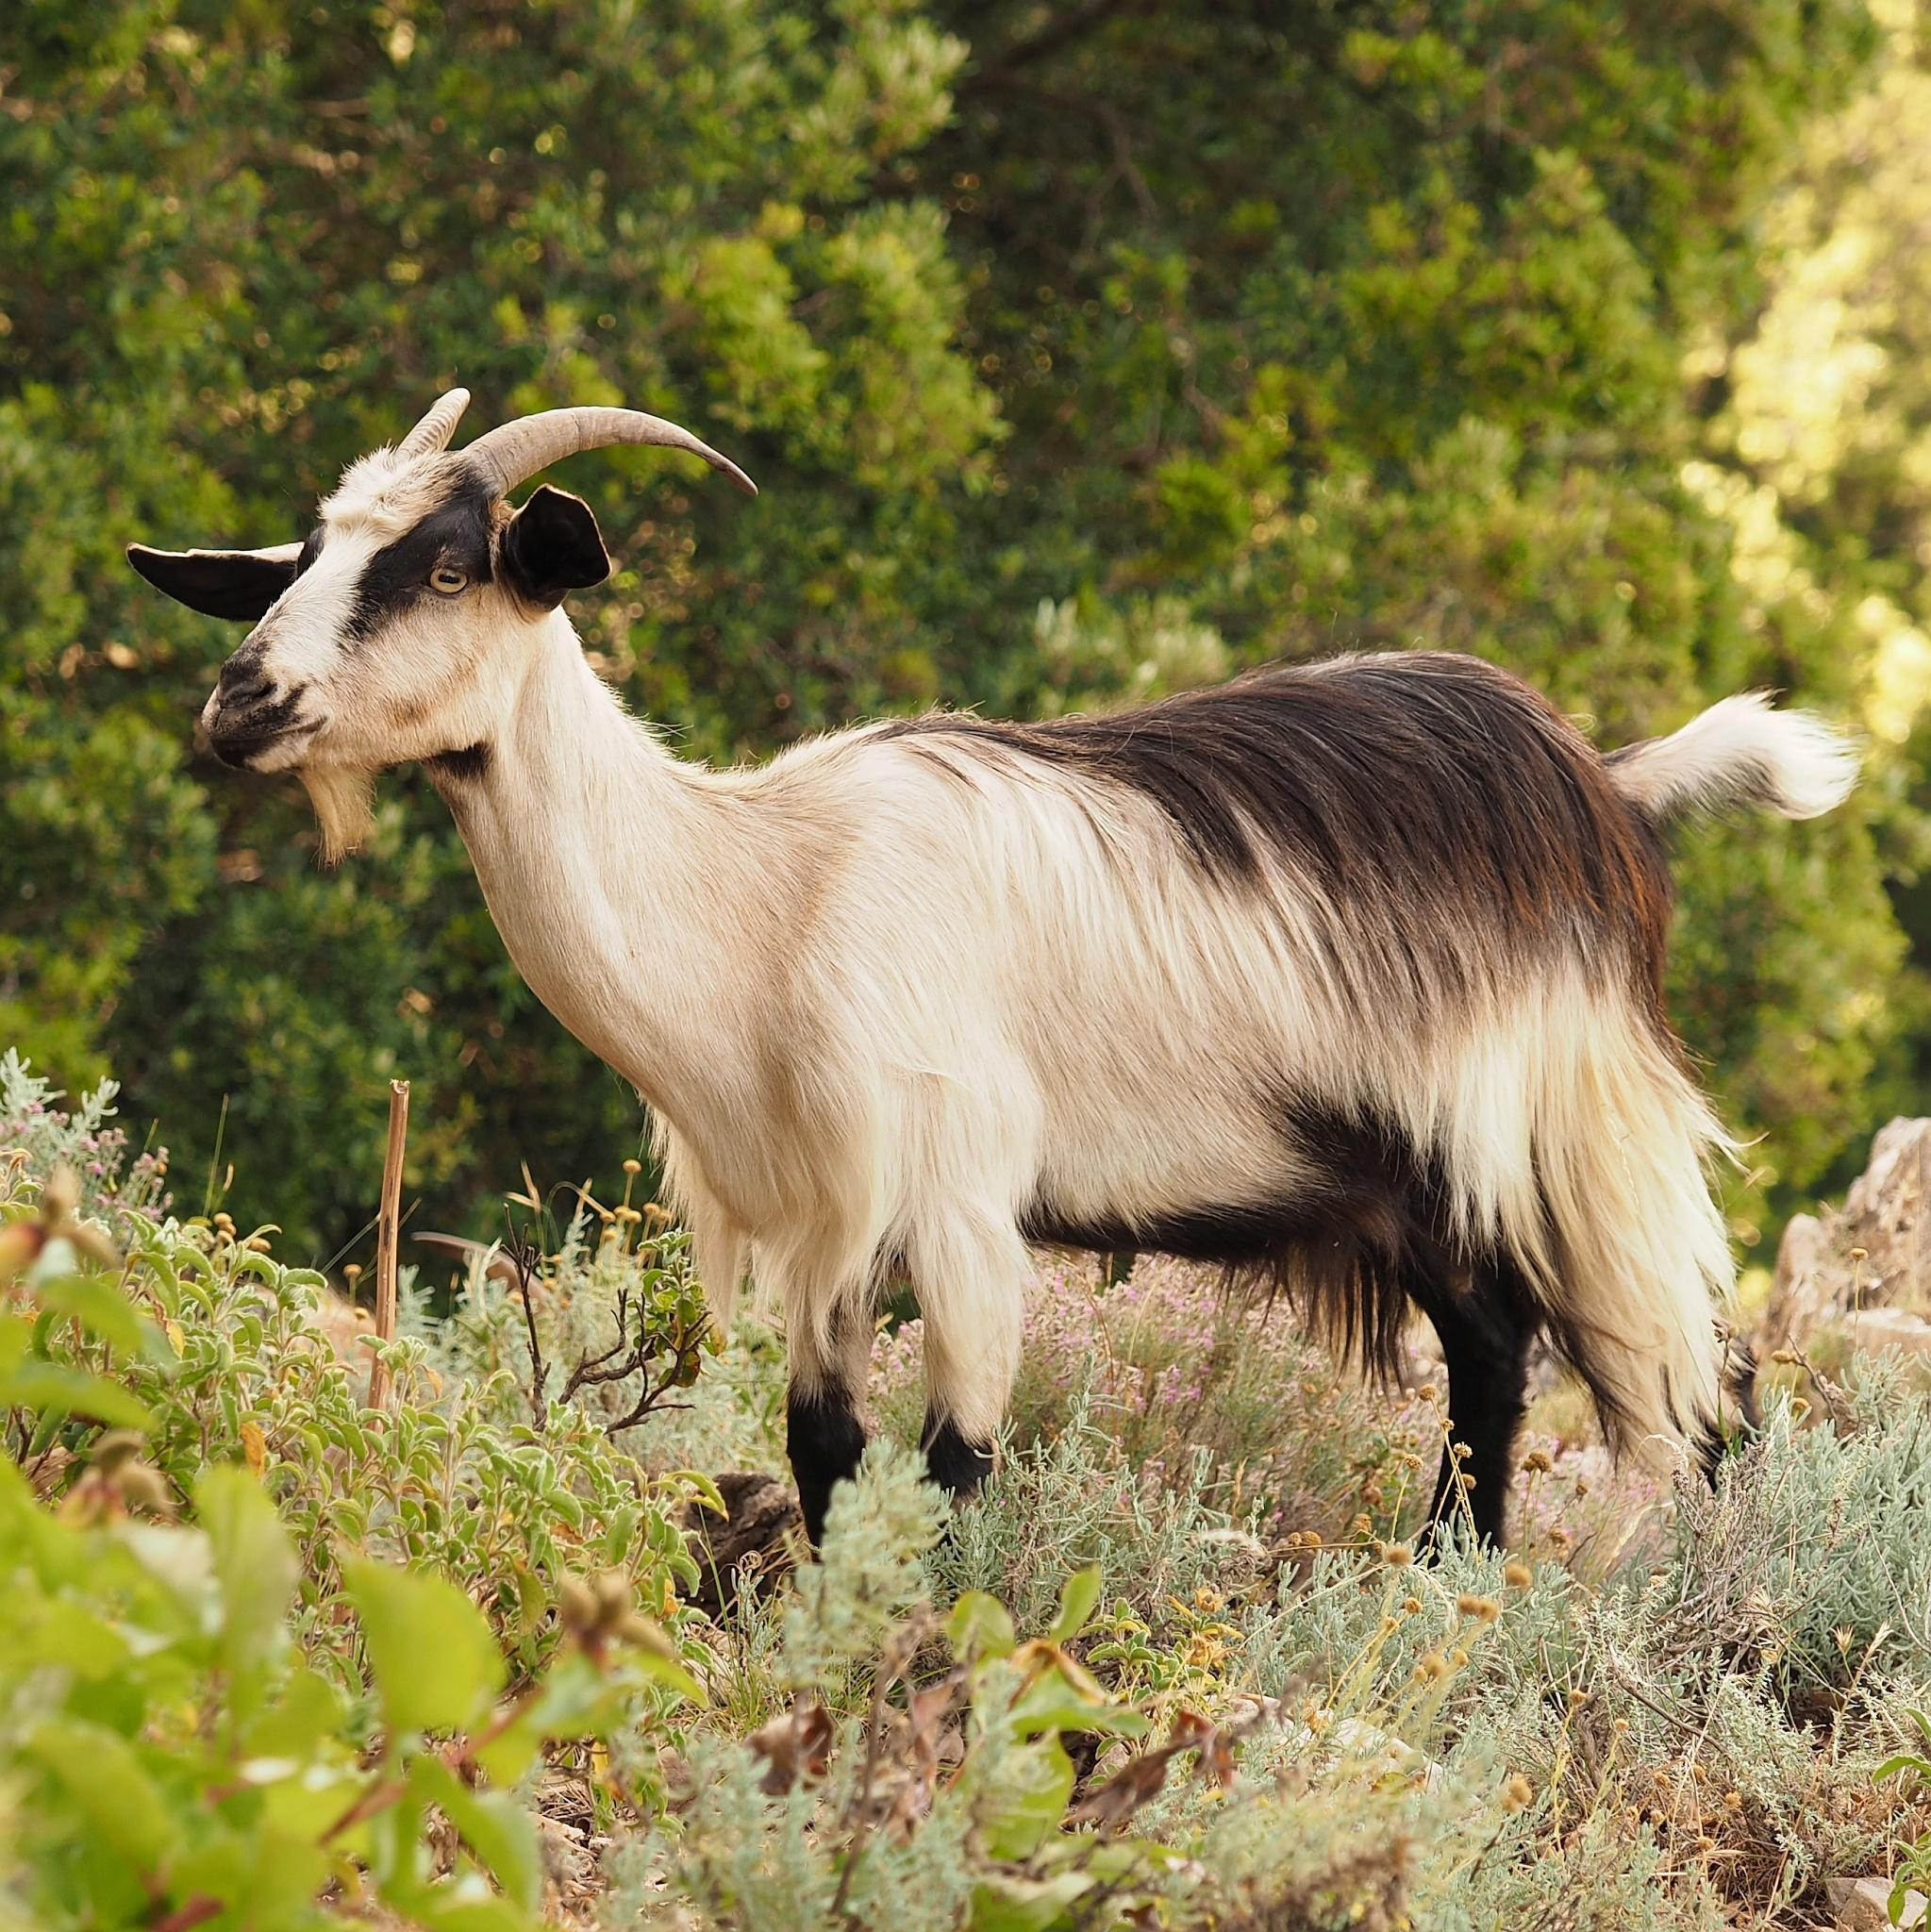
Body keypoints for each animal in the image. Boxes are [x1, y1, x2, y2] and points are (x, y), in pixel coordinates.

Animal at [129, 390, 1858, 1547]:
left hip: (1576, 1124)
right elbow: (823, 1451)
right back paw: (1447, 1576)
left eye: (440, 568)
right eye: (298, 557)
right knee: (1497, 1354)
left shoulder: (955, 1196)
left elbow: (954, 1465)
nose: (237, 703)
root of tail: (1609, 785)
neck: (761, 895)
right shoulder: (827, 1221)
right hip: (1409, 1175)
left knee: (1694, 1384)